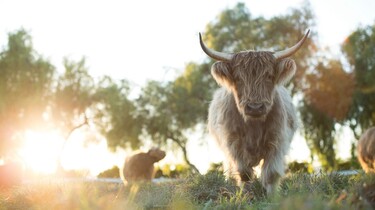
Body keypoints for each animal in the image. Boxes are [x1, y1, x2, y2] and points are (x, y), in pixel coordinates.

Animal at [201, 29, 310, 194]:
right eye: (238, 78)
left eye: (269, 76)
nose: (255, 107)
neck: (253, 126)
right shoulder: (233, 143)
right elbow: (244, 173)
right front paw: (246, 195)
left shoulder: (277, 141)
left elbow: (271, 174)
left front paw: (272, 197)